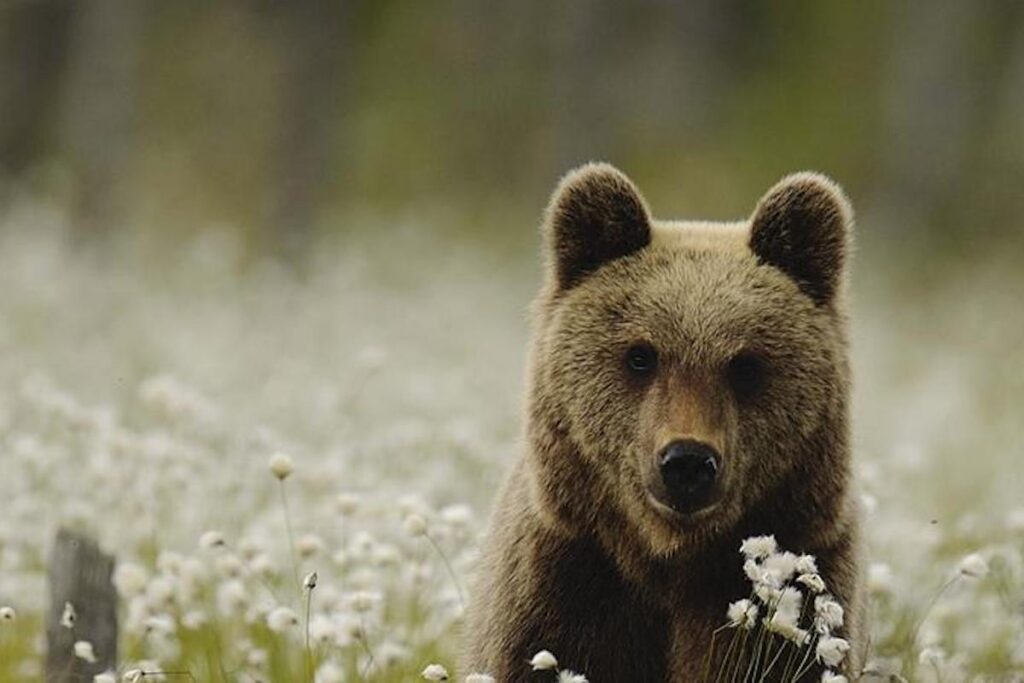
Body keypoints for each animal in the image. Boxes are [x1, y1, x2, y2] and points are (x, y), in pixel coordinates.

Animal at [464, 162, 864, 679]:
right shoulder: (564, 584)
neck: (670, 561)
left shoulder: (800, 591)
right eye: (641, 356)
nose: (687, 461)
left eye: (745, 365)